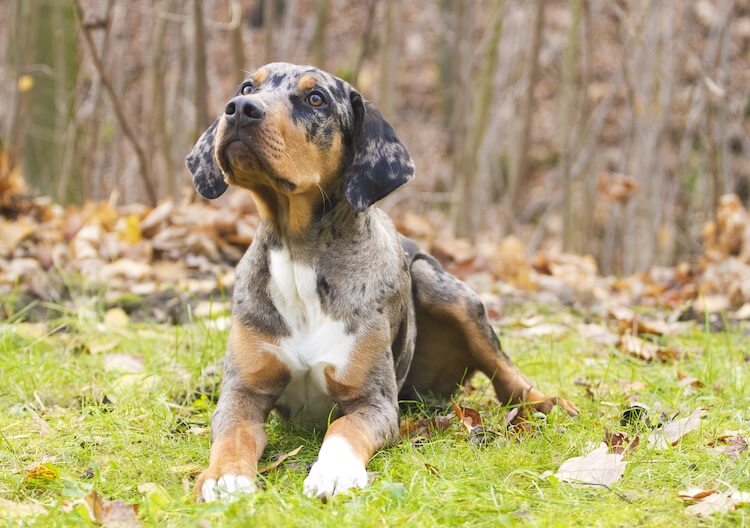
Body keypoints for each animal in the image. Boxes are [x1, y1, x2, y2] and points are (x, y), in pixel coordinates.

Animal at [185, 62, 580, 504]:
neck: (299, 254)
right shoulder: (243, 392)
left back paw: (550, 403)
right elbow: (233, 434)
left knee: (507, 374)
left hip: (444, 288)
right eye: (247, 87)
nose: (239, 109)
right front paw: (224, 478)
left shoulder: (372, 402)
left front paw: (334, 472)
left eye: (316, 99)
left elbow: (343, 428)